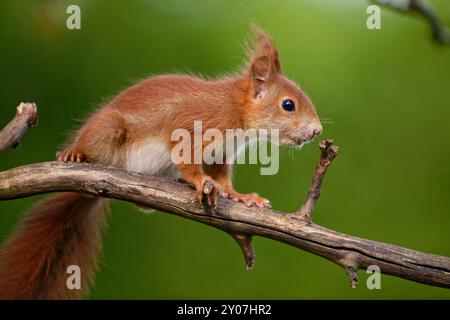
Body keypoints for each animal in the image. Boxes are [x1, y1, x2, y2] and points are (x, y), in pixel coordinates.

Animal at [0, 28, 324, 300]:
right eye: (288, 105)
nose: (317, 131)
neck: (236, 112)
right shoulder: (196, 128)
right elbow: (189, 161)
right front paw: (201, 183)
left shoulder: (220, 154)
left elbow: (223, 178)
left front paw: (241, 196)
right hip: (108, 131)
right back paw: (74, 154)